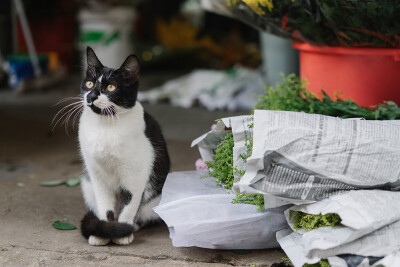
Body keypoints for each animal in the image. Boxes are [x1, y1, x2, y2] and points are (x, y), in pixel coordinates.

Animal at [79, 47, 170, 246]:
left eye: (111, 87)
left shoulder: (136, 176)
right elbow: (105, 205)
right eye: (89, 84)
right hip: (87, 184)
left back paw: (134, 226)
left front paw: (123, 232)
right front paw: (103, 232)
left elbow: (128, 206)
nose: (91, 96)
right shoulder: (96, 175)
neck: (105, 126)